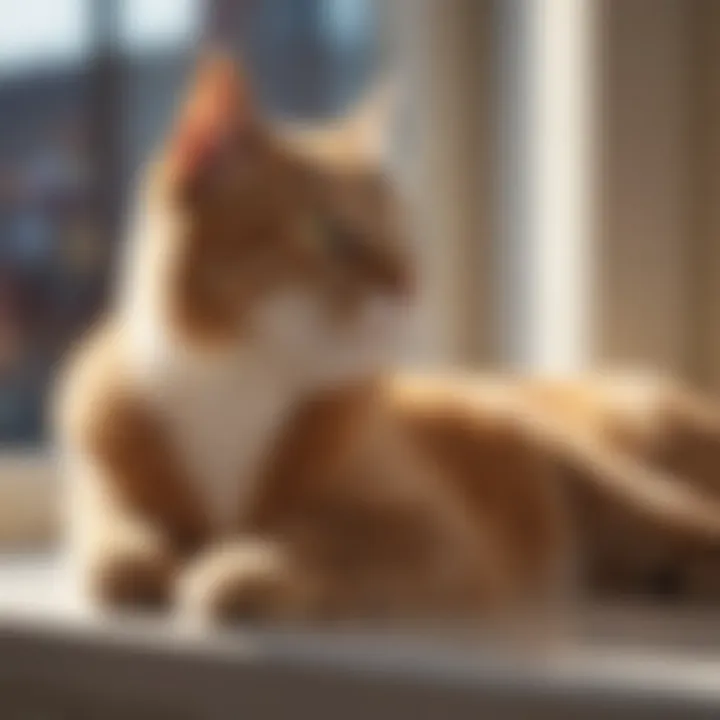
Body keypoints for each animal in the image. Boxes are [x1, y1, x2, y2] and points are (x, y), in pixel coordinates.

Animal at [54, 52, 720, 624]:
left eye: (400, 234)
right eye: (332, 232)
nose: (411, 283)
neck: (238, 379)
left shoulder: (433, 533)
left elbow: (318, 537)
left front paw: (245, 569)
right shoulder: (103, 489)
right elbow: (116, 541)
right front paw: (144, 559)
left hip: (603, 487)